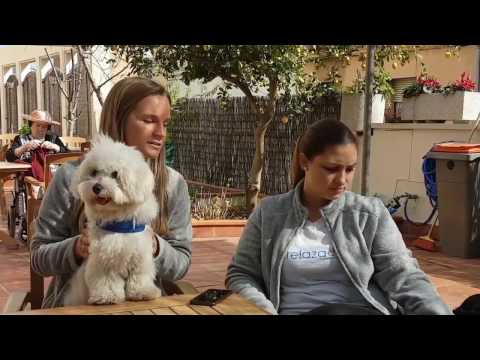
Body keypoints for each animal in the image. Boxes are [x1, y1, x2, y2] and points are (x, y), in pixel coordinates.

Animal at [62, 135, 161, 306]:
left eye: (115, 174)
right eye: (94, 172)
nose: (96, 187)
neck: (118, 223)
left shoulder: (141, 256)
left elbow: (139, 277)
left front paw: (142, 292)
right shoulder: (103, 258)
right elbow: (106, 280)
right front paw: (107, 296)